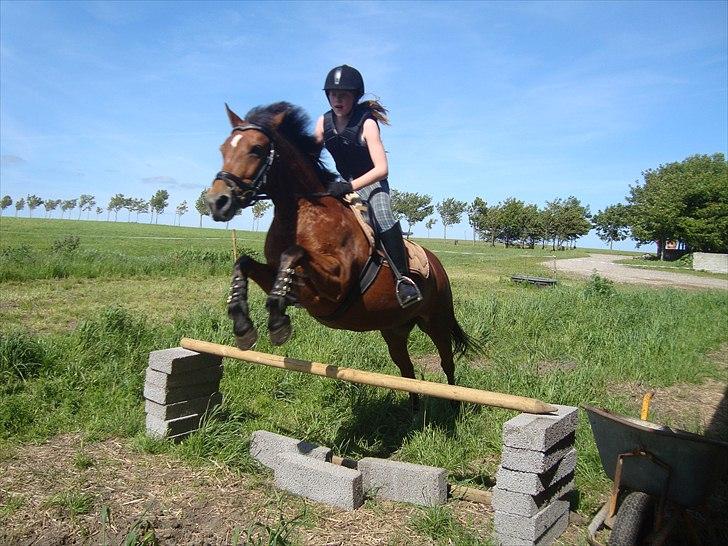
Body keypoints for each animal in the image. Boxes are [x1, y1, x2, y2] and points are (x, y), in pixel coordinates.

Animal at [205, 102, 478, 406]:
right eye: (223, 149)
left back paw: (453, 405)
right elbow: (245, 263)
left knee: (446, 362)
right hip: (394, 328)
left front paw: (277, 323)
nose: (217, 202)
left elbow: (294, 253)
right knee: (406, 370)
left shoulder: (336, 286)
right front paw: (242, 324)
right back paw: (415, 408)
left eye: (256, 149)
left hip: (436, 320)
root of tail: (436, 264)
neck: (300, 212)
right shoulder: (280, 276)